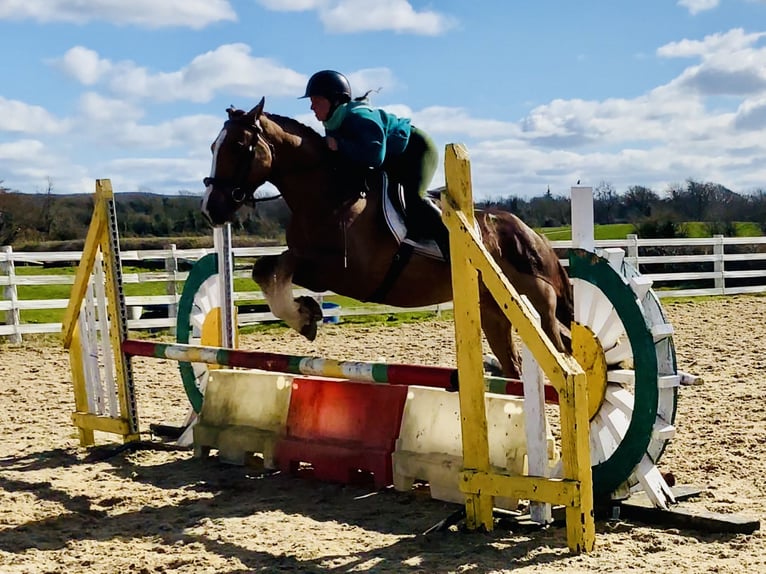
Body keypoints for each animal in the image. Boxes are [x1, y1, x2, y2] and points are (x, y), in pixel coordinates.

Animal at [201, 97, 572, 380]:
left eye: (238, 146)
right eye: (212, 146)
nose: (210, 209)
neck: (327, 193)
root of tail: (534, 237)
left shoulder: (345, 272)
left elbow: (276, 266)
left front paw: (305, 315)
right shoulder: (314, 262)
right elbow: (266, 267)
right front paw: (305, 313)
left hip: (537, 309)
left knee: (560, 351)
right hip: (495, 312)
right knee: (514, 368)